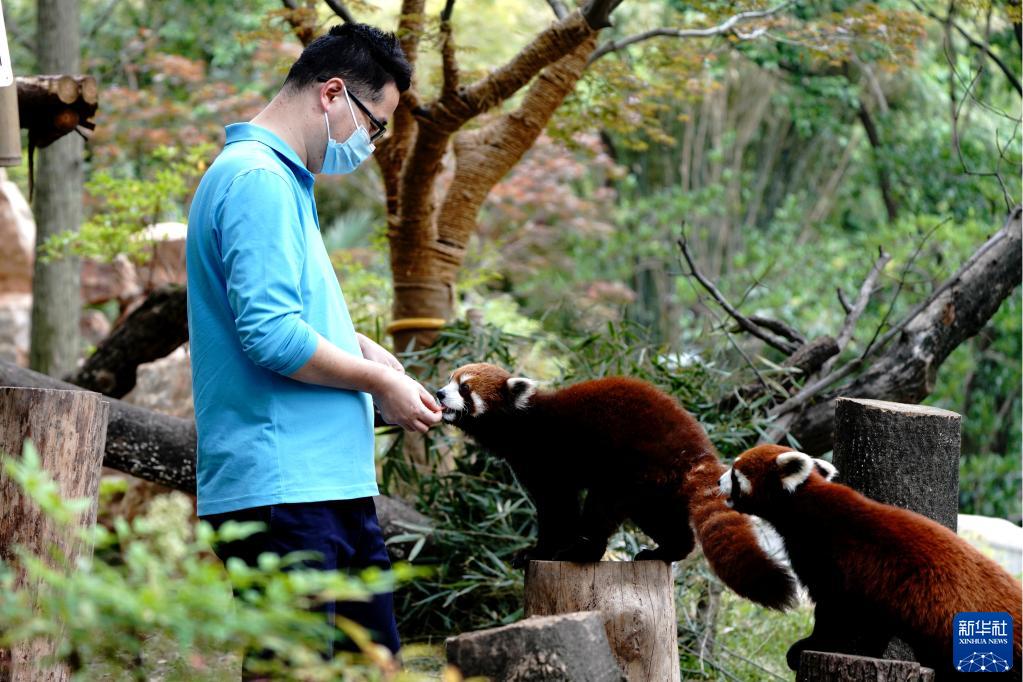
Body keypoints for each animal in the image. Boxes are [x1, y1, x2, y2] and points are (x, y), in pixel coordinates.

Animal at [431, 366, 797, 609]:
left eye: (464, 388)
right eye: (450, 380)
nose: (438, 393)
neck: (520, 425)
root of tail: (696, 447)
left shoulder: (548, 459)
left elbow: (556, 508)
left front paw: (540, 551)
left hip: (633, 467)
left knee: (603, 507)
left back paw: (582, 551)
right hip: (658, 488)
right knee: (661, 520)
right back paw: (664, 551)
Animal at [720, 443, 1023, 678]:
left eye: (735, 473)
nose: (718, 481)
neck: (806, 507)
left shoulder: (835, 560)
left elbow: (836, 611)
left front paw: (809, 645)